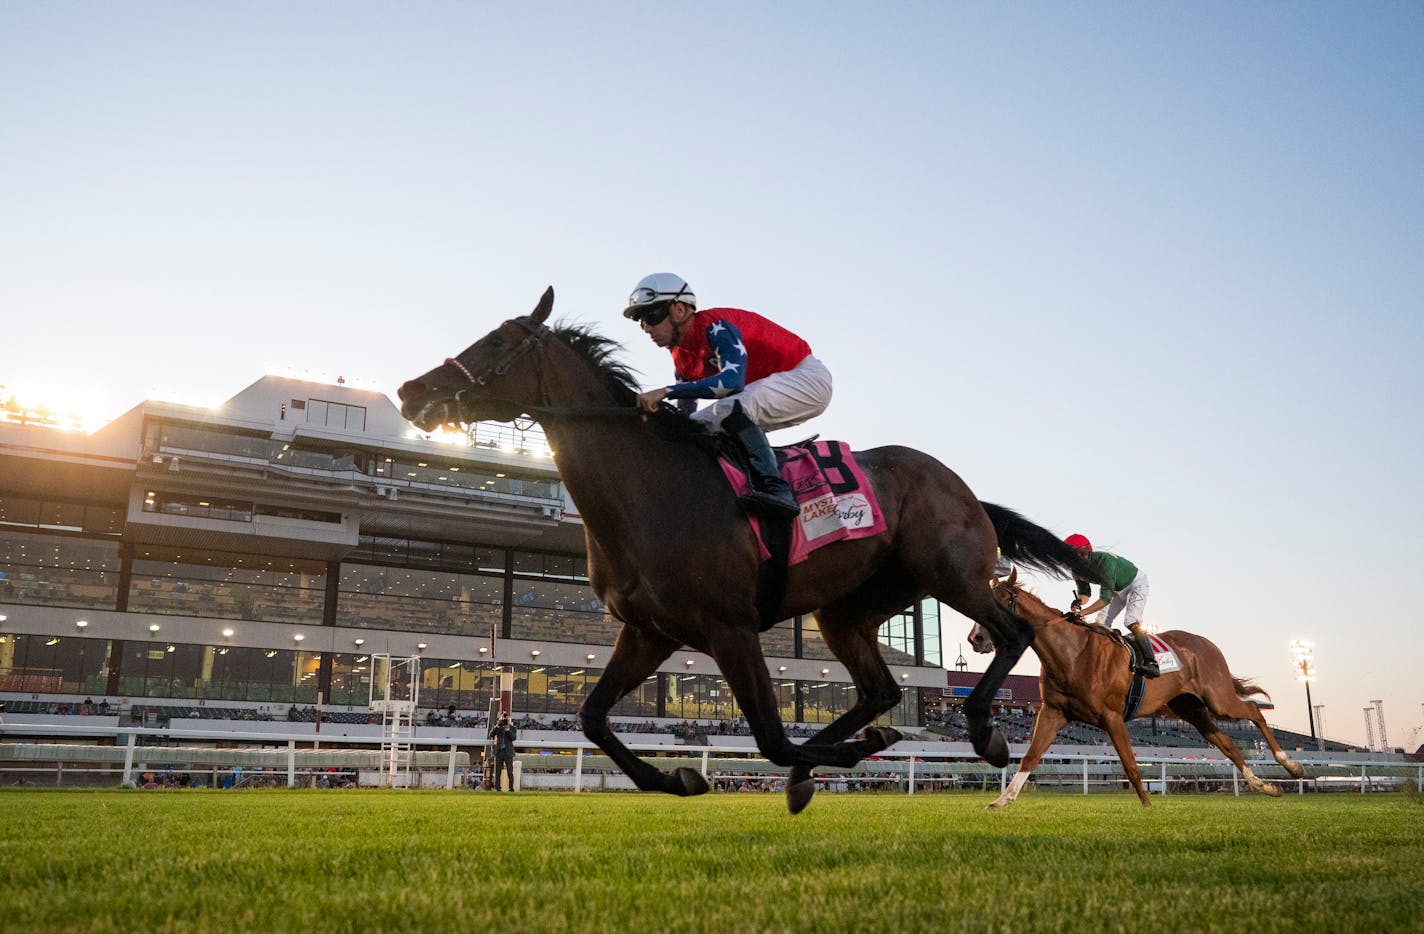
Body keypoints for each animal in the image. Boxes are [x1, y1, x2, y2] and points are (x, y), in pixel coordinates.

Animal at [401, 287, 1099, 814]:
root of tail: (966, 489)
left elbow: (770, 736)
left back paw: (984, 729)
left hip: (952, 574)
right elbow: (593, 718)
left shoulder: (730, 628)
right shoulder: (649, 632)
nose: (411, 391)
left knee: (1013, 633)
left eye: (496, 342)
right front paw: (676, 776)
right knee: (879, 691)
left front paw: (825, 760)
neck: (649, 489)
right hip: (847, 610)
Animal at [968, 572, 1304, 808]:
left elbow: (1131, 765)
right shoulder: (1053, 712)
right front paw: (1002, 799)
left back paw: (1290, 764)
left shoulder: (1112, 716)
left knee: (1253, 711)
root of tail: (1206, 643)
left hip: (1218, 698)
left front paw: (1148, 807)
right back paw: (1266, 786)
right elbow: (1031, 756)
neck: (1072, 654)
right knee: (1229, 744)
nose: (976, 639)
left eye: (1001, 601)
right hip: (1191, 709)